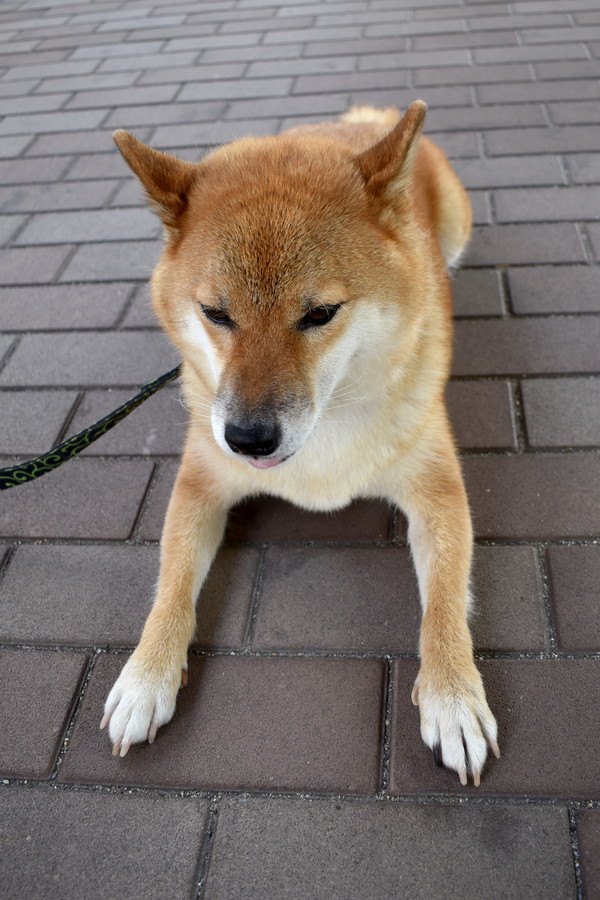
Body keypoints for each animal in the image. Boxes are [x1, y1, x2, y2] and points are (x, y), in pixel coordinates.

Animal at [101, 102, 500, 784]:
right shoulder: (200, 482)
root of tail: (368, 117)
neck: (321, 439)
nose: (247, 438)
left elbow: (446, 601)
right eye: (215, 313)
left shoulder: (438, 489)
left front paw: (453, 696)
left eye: (320, 314)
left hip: (456, 217)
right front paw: (144, 677)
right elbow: (170, 584)